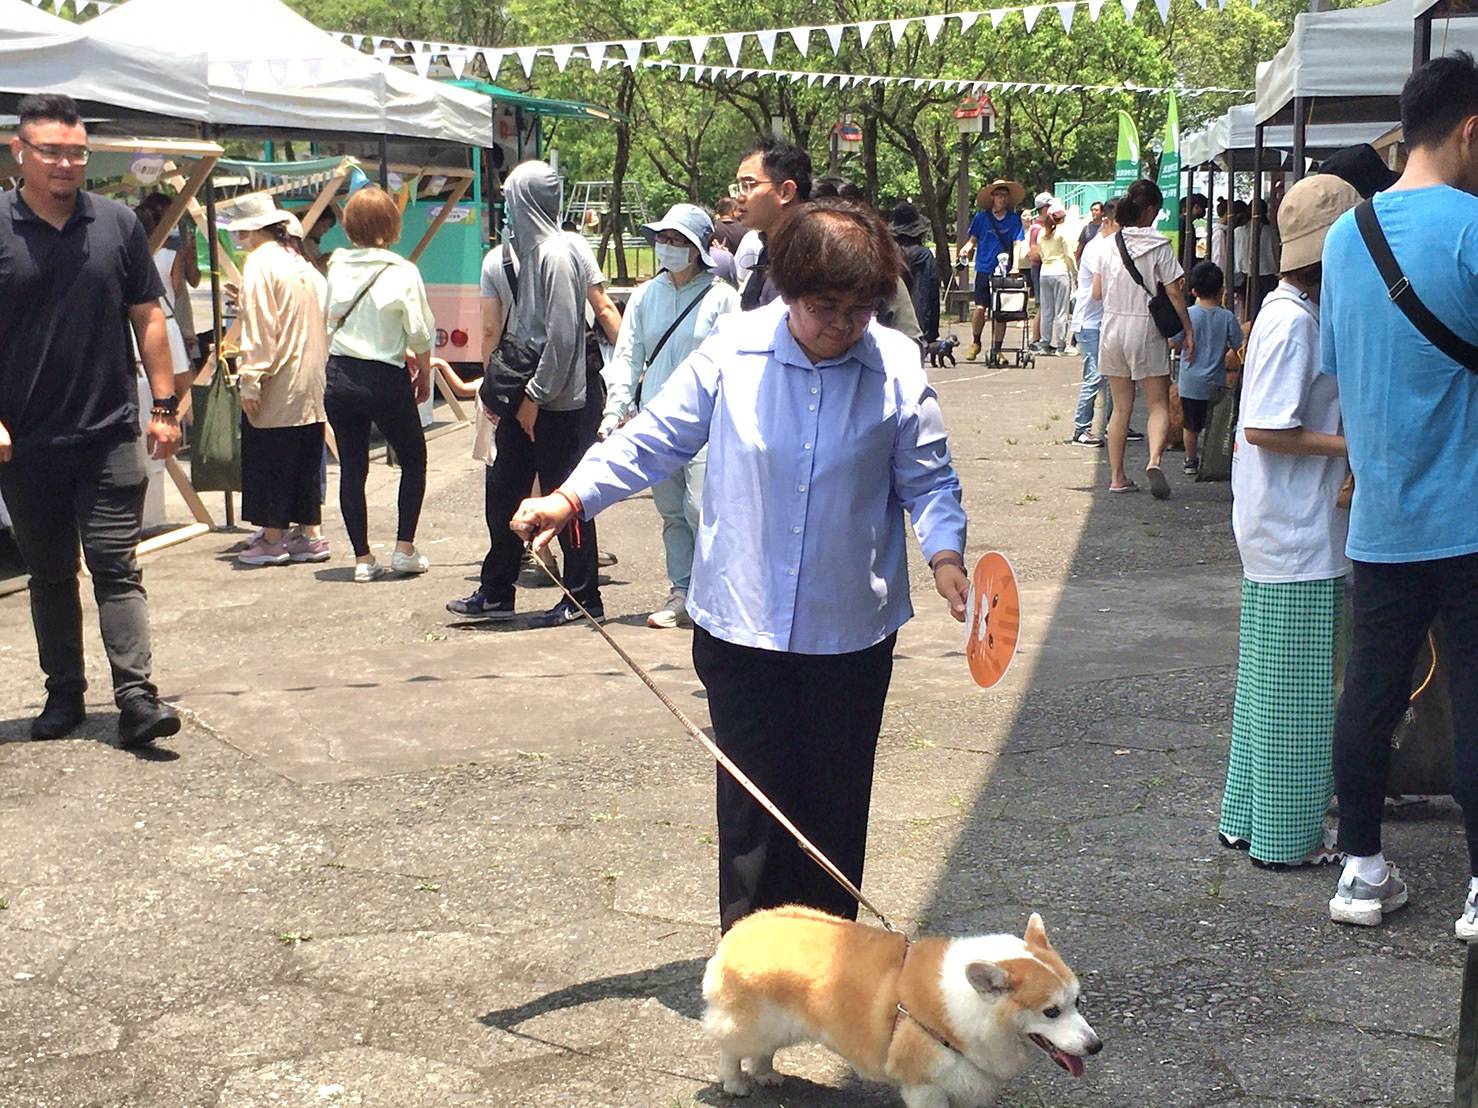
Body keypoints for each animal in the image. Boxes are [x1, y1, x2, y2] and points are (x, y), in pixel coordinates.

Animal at [700, 904, 1099, 1105]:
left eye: (1077, 1001)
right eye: (1051, 1012)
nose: (1096, 1046)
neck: (976, 1009)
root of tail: (739, 930)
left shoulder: (970, 1084)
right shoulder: (925, 1087)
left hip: (782, 1026)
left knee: (763, 1051)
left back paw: (766, 1074)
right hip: (753, 1023)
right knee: (731, 1048)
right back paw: (735, 1082)